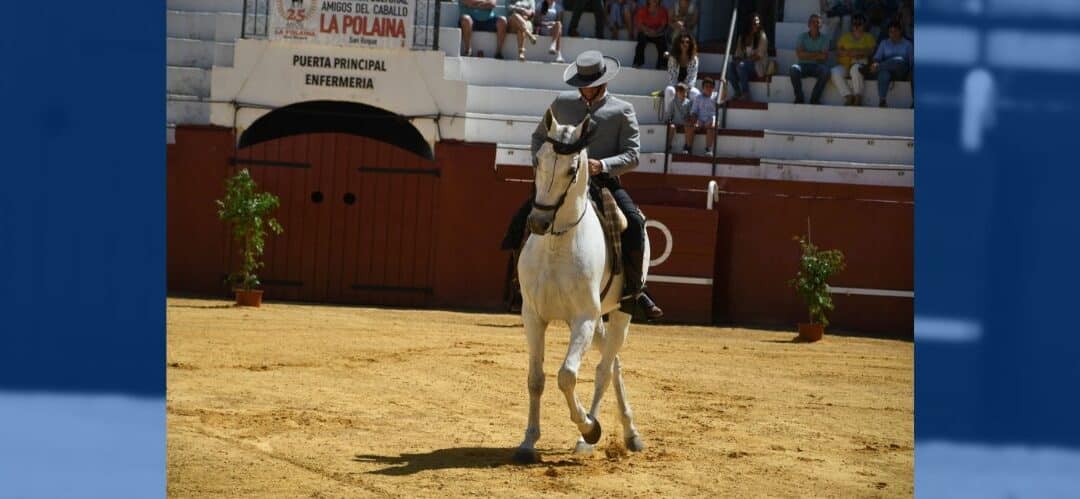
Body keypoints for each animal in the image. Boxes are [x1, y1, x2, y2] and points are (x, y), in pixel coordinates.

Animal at [511, 110, 643, 464]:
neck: (558, 243)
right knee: (615, 366)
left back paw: (593, 438)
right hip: (598, 321)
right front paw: (528, 441)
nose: (538, 223)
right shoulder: (533, 317)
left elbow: (567, 375)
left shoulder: (583, 317)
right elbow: (536, 379)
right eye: (538, 160)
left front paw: (589, 428)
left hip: (619, 315)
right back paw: (629, 433)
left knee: (603, 371)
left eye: (572, 169)